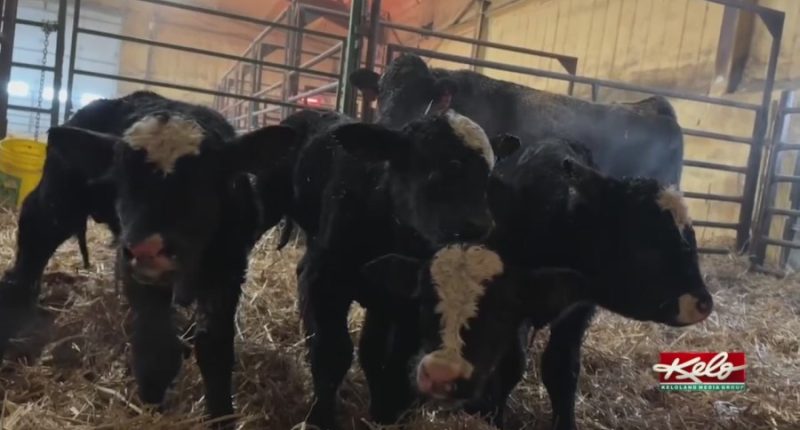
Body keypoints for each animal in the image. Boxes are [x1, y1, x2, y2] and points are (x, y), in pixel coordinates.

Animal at [0, 91, 297, 427]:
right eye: (122, 178)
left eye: (202, 180)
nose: (147, 248)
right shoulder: (134, 268)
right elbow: (156, 346)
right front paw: (153, 401)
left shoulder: (230, 267)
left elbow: (215, 347)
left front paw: (222, 415)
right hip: (58, 200)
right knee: (33, 239)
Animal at [277, 108, 517, 429]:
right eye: (441, 170)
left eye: (488, 177)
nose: (480, 226)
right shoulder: (324, 278)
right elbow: (333, 351)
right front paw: (321, 418)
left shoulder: (406, 298)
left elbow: (388, 358)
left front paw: (387, 413)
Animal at [361, 137, 712, 429]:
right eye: (647, 245)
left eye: (691, 238)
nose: (703, 302)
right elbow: (511, 363)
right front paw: (487, 414)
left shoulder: (575, 309)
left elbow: (561, 368)